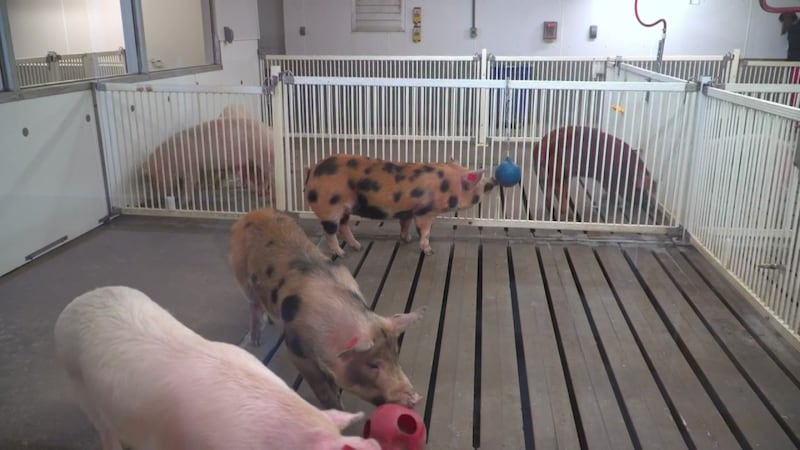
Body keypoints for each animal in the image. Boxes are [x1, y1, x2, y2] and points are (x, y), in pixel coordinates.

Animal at [141, 103, 273, 208]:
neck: (171, 158)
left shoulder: (191, 166)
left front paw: (183, 202)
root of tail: (270, 131)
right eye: (149, 180)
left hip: (263, 157)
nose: (162, 198)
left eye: (154, 179)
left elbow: (190, 182)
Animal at [229, 207, 424, 410]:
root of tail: (253, 213)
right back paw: (256, 340)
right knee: (254, 305)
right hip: (242, 276)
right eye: (373, 365)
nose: (417, 398)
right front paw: (336, 407)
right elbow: (320, 385)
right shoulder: (296, 349)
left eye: (395, 355)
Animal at [304, 154, 498, 256]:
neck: (446, 186)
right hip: (329, 207)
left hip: (345, 208)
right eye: (480, 182)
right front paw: (428, 251)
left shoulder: (407, 211)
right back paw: (340, 253)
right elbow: (425, 231)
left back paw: (358, 247)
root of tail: (312, 172)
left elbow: (404, 224)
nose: (493, 181)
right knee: (330, 231)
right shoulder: (424, 212)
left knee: (344, 226)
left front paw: (407, 239)